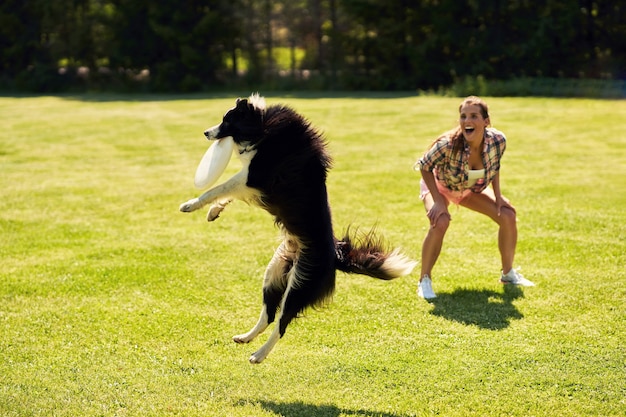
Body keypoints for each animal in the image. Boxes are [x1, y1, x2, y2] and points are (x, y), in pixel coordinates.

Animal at [180, 93, 414, 360]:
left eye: (227, 120)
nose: (205, 133)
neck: (261, 125)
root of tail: (335, 255)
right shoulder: (253, 184)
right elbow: (226, 194)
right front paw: (213, 211)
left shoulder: (254, 176)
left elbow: (217, 188)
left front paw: (191, 204)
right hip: (274, 272)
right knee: (269, 315)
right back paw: (245, 338)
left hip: (300, 283)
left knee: (282, 323)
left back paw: (259, 355)